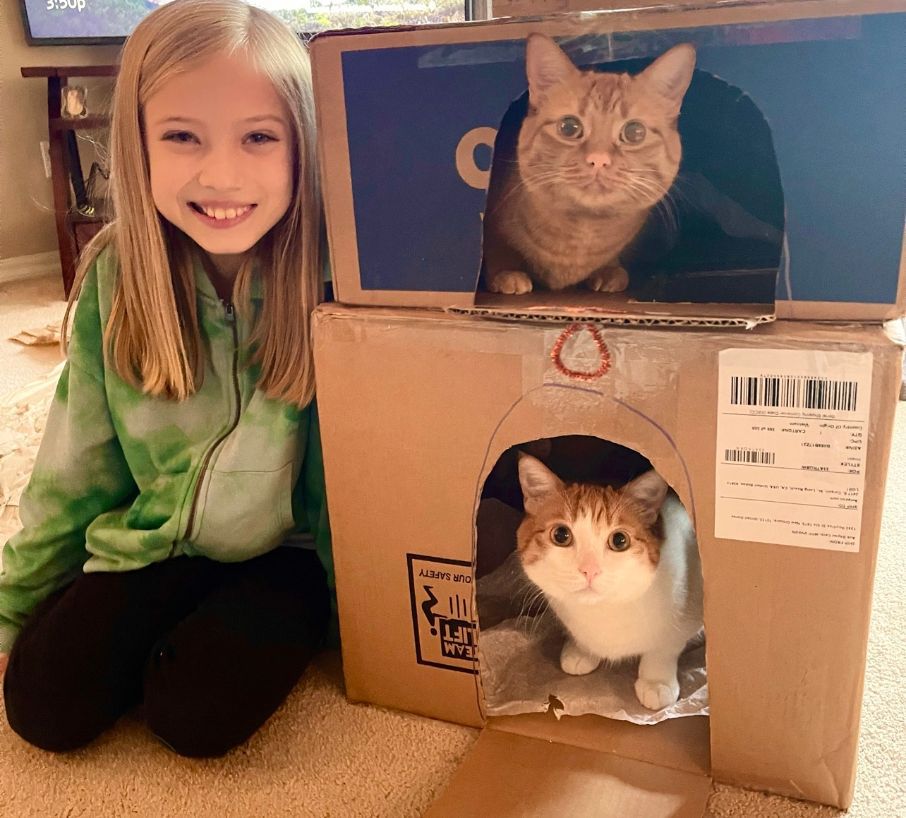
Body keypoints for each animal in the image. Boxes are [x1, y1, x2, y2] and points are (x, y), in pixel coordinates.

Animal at [484, 35, 696, 296]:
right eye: (569, 127)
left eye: (634, 132)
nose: (599, 158)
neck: (584, 232)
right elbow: (497, 250)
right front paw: (506, 273)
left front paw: (609, 269)